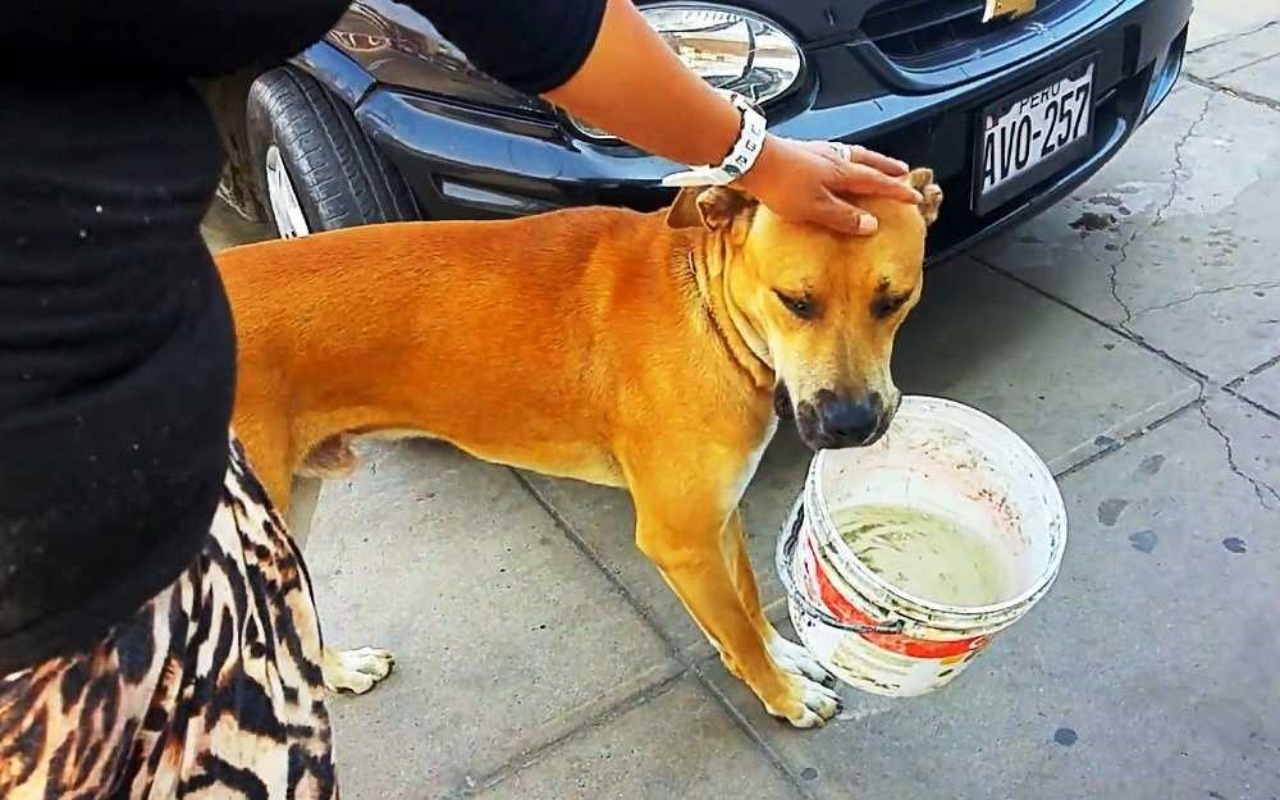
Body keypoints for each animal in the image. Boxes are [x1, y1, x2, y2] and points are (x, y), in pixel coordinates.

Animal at [217, 166, 942, 721]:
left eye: (895, 300)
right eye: (795, 301)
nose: (850, 423)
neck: (709, 308)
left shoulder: (717, 512)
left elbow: (744, 593)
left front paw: (785, 654)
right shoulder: (680, 539)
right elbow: (735, 632)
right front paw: (783, 696)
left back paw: (337, 672)